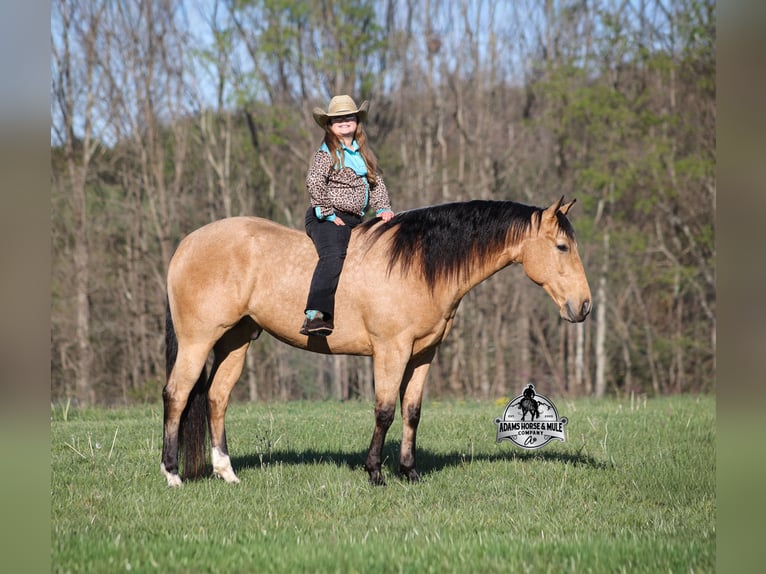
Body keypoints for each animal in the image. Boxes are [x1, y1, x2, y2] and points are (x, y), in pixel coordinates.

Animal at [161, 197, 591, 487]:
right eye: (562, 247)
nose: (583, 306)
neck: (418, 264)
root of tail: (186, 245)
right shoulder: (390, 350)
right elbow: (384, 411)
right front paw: (375, 473)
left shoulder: (422, 355)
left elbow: (412, 412)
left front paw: (409, 472)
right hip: (198, 340)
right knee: (177, 395)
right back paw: (172, 474)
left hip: (236, 340)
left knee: (216, 398)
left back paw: (227, 473)